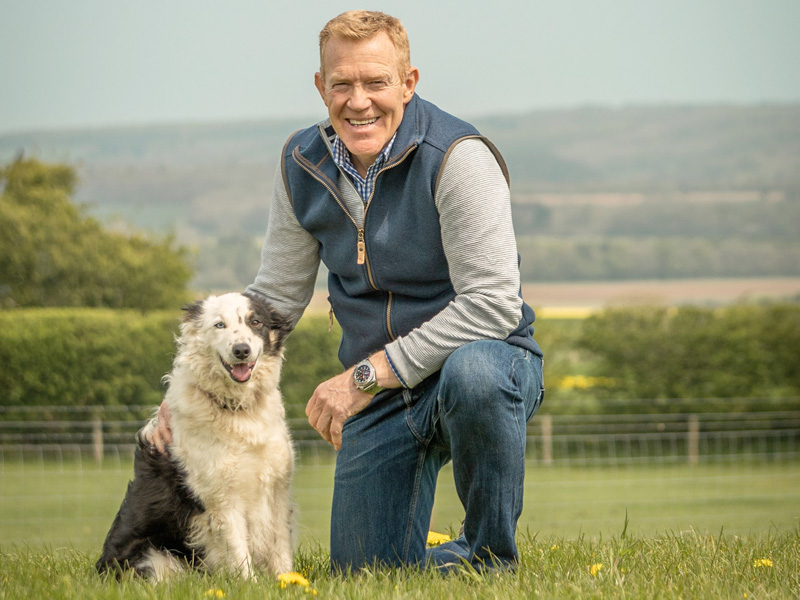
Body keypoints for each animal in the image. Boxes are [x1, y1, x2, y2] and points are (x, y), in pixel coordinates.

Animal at [94, 292, 294, 580]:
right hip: (155, 560)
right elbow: (239, 553)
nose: (241, 350)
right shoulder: (221, 498)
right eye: (219, 325)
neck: (237, 410)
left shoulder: (276, 486)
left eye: (255, 322)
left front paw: (289, 581)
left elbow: (280, 546)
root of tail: (101, 568)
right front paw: (252, 584)